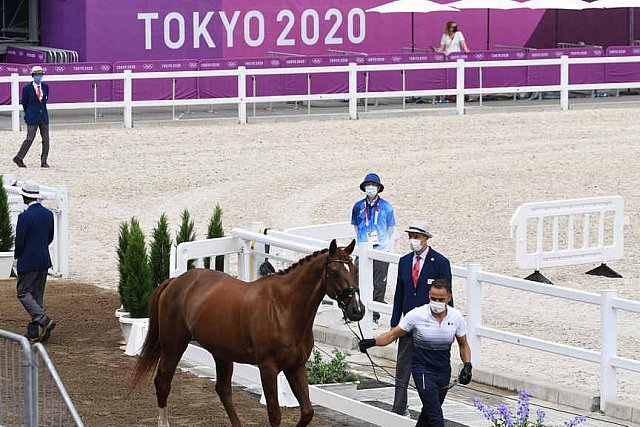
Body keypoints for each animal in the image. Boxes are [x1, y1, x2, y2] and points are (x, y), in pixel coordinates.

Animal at [132, 241, 362, 427]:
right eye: (335, 271)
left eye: (355, 270)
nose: (357, 310)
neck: (283, 308)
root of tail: (175, 281)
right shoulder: (268, 368)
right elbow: (274, 414)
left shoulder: (295, 366)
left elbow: (307, 412)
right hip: (174, 345)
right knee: (163, 382)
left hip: (221, 353)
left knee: (223, 390)